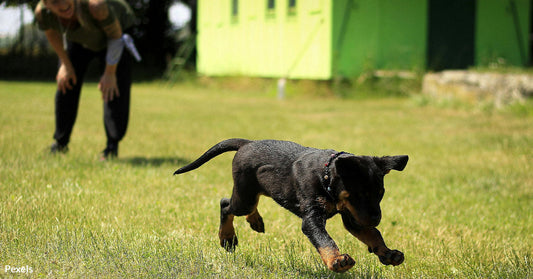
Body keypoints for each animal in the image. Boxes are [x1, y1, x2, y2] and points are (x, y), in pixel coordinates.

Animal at [175, 139, 408, 274]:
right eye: (359, 194)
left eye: (380, 194)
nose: (377, 218)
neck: (326, 176)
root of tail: (247, 143)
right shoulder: (313, 218)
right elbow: (325, 240)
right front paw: (337, 261)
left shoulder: (353, 217)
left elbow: (373, 234)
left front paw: (388, 253)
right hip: (244, 196)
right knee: (226, 205)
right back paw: (227, 237)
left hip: (257, 189)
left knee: (248, 203)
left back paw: (255, 221)